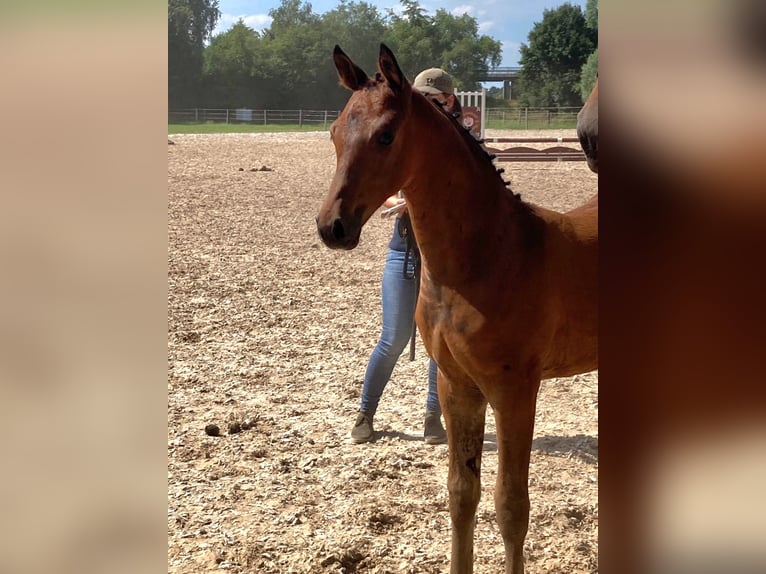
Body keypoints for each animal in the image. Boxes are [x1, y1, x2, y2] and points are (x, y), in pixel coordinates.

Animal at [316, 46, 600, 574]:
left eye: (386, 135)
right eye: (335, 132)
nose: (332, 227)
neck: (486, 257)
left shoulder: (514, 391)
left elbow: (511, 505)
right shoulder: (457, 385)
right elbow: (462, 494)